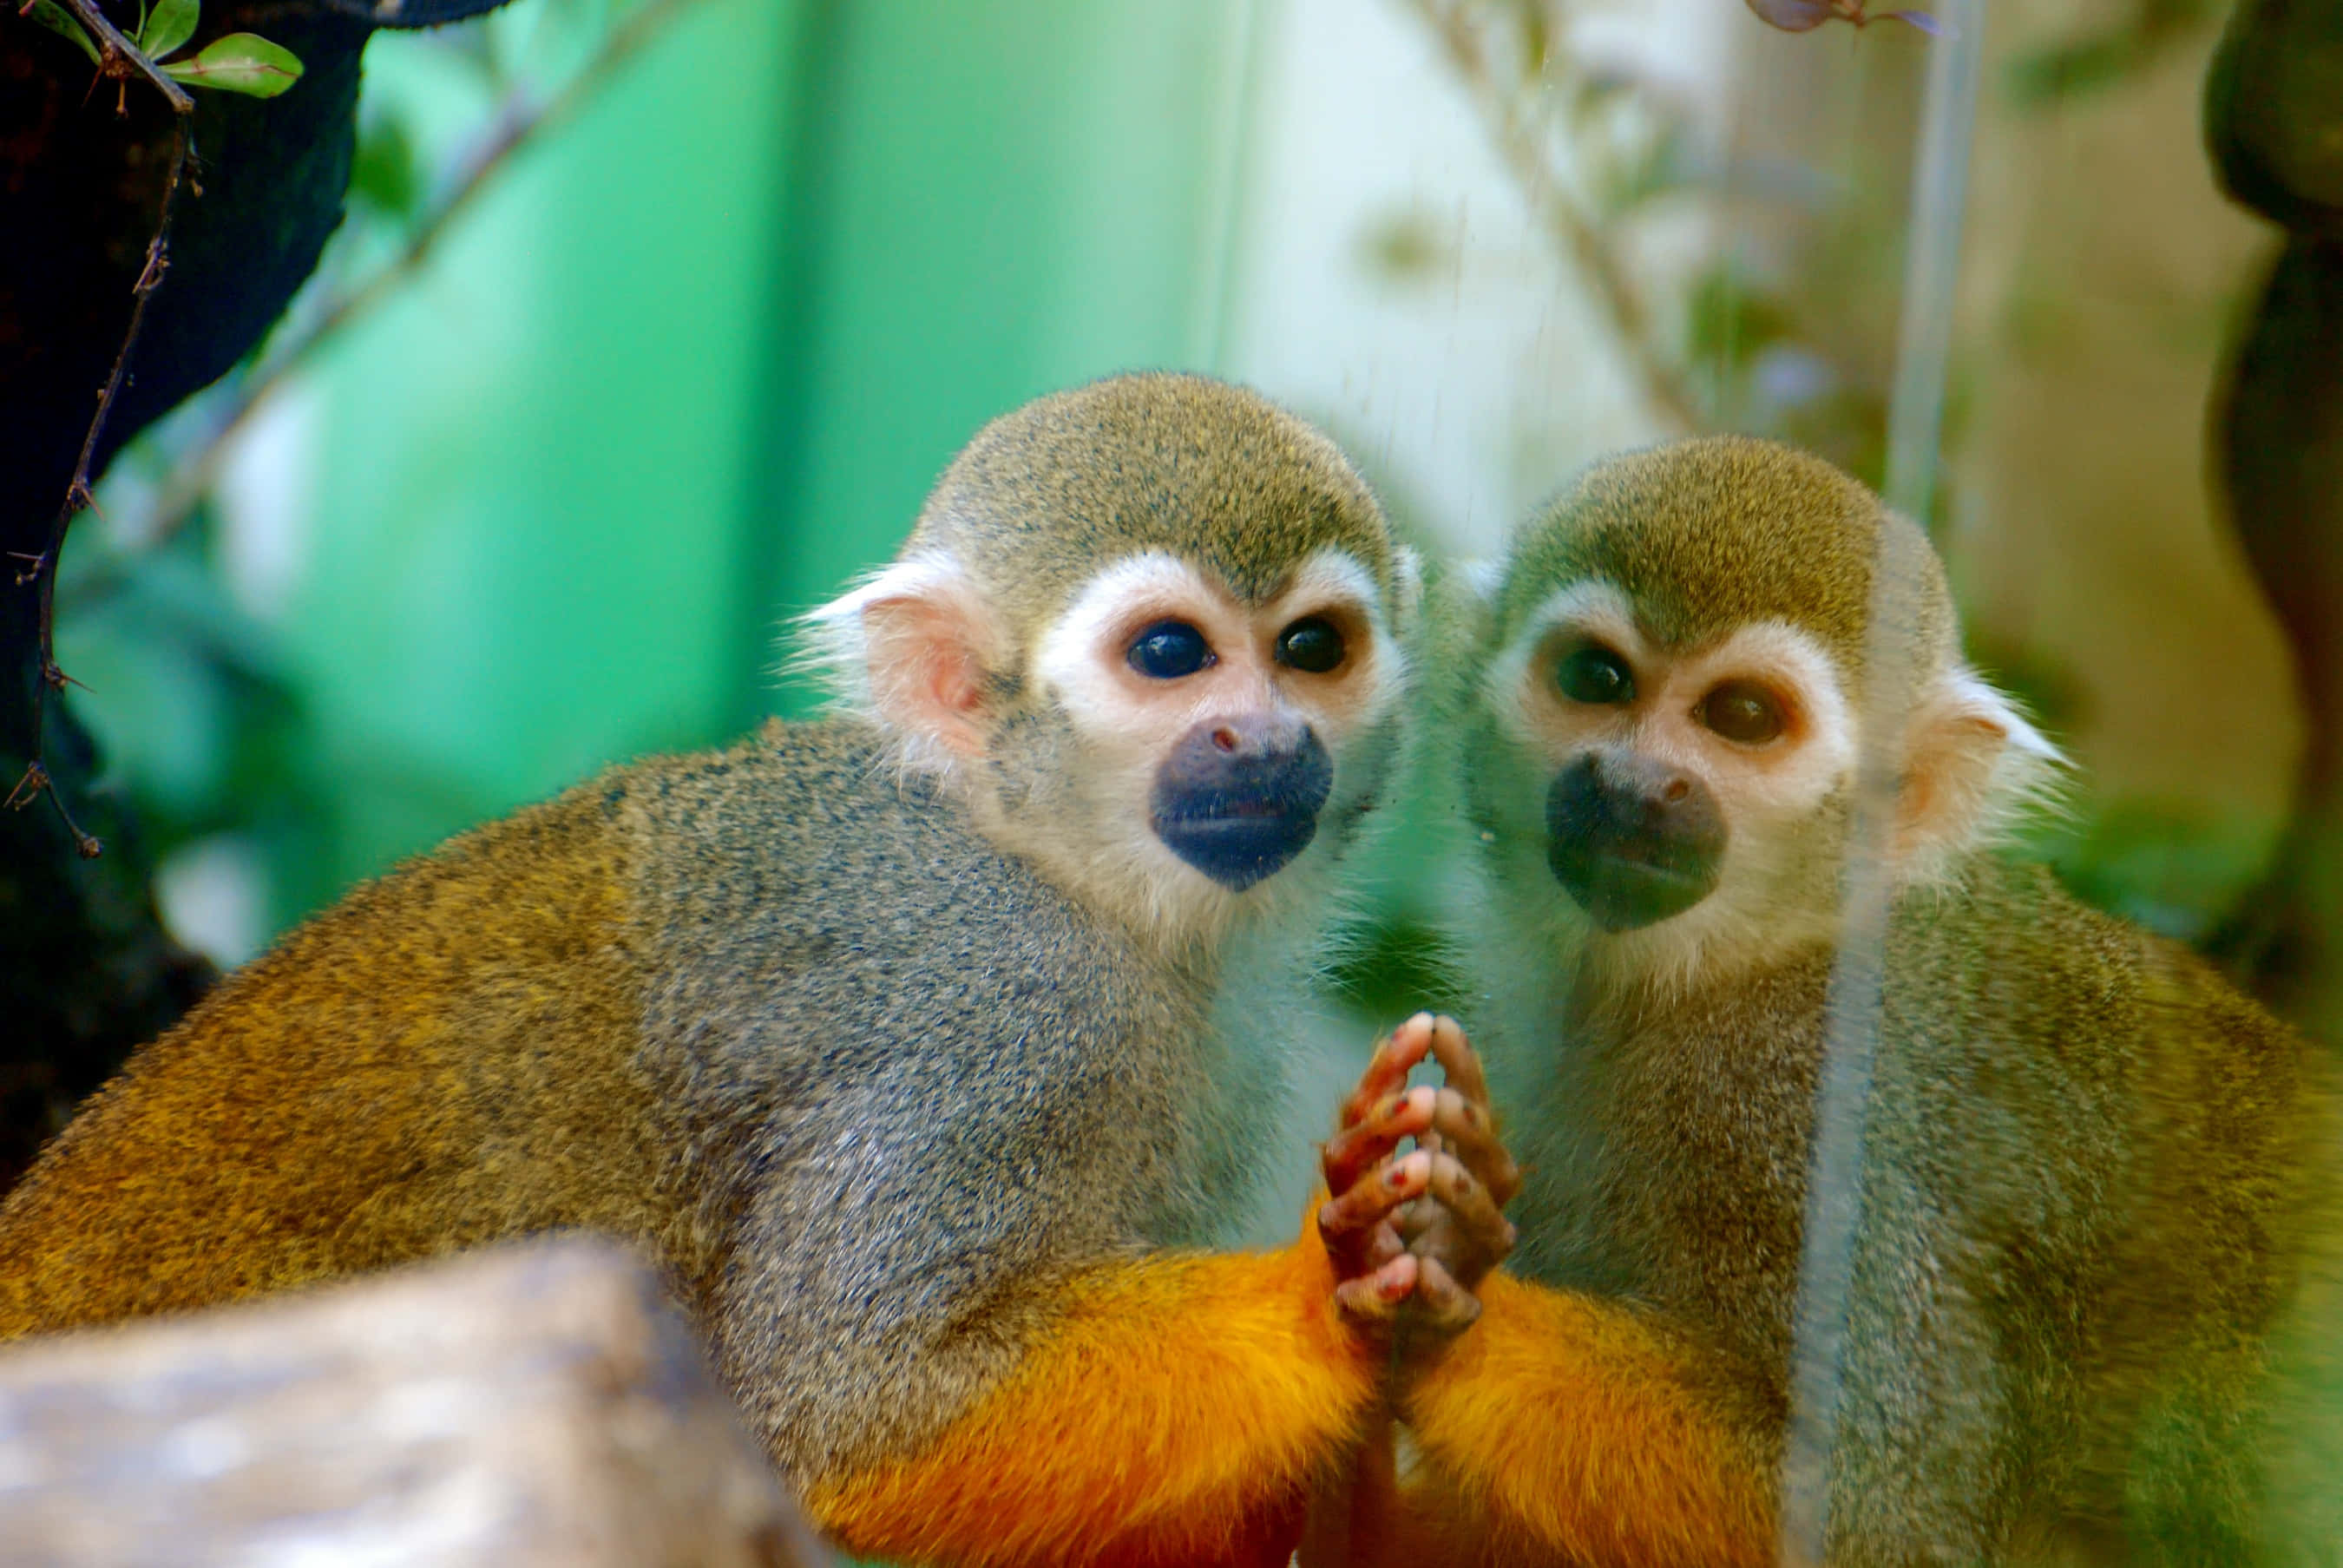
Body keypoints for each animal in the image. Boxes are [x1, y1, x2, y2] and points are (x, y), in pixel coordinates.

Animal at [0, 372, 1455, 1568]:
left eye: (1311, 648)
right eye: (1170, 654)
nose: (1262, 736)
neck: (1067, 876)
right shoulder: (995, 1021)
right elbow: (854, 1399)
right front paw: (1324, 1306)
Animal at [1321, 435, 2341, 1565]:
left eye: (1743, 718)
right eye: (1598, 678)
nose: (1636, 783)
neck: (1739, 967)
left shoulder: (1812, 1121)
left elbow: (1873, 1512)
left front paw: (1448, 1295)